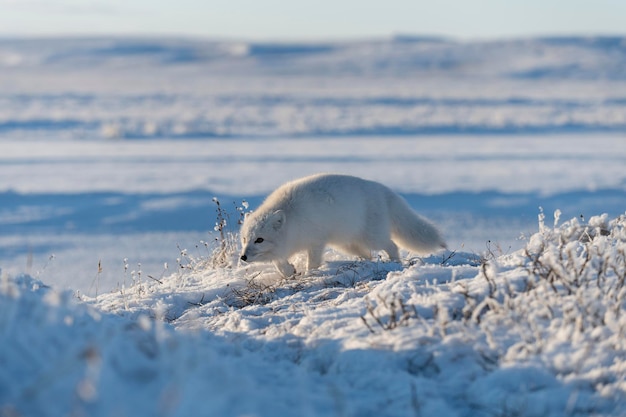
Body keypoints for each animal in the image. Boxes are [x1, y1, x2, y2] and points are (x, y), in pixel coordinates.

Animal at [238, 172, 444, 276]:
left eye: (259, 240)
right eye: (245, 239)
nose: (243, 257)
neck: (293, 216)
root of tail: (383, 190)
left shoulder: (316, 241)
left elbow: (312, 263)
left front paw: (309, 274)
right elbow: (279, 264)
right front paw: (289, 271)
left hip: (372, 237)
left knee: (392, 245)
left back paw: (394, 263)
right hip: (347, 244)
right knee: (368, 255)